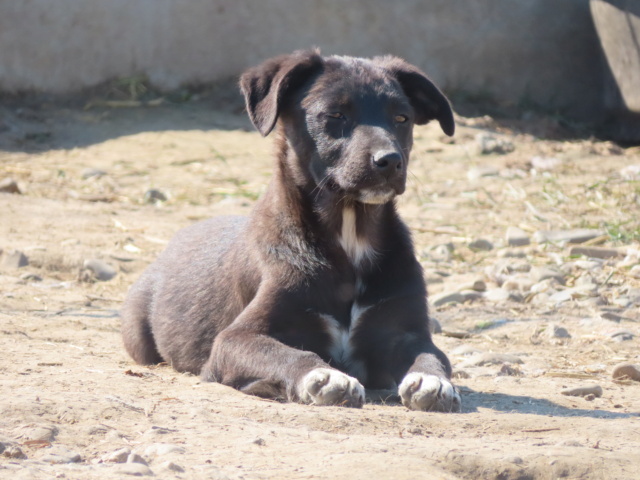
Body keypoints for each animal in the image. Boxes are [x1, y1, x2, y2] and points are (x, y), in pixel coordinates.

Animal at [120, 49, 460, 412]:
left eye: (401, 118)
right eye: (335, 114)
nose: (390, 161)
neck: (350, 234)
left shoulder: (404, 331)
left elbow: (432, 356)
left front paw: (432, 381)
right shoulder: (234, 339)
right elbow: (287, 353)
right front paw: (325, 376)